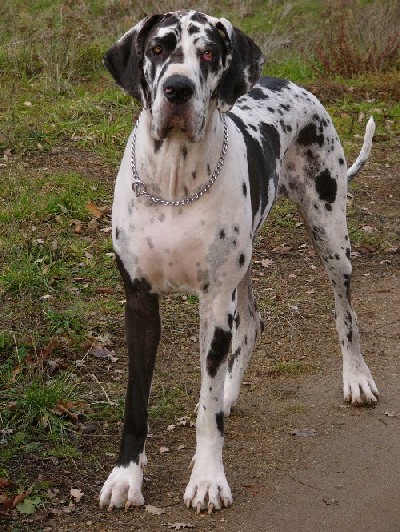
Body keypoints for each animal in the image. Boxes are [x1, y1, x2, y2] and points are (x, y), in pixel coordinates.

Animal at [99, 10, 378, 514]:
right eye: (157, 48)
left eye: (209, 53)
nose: (178, 88)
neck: (173, 185)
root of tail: (290, 83)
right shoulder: (140, 302)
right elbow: (136, 401)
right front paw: (126, 476)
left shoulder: (214, 304)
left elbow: (206, 412)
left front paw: (208, 479)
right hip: (244, 267)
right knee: (251, 323)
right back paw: (231, 391)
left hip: (331, 236)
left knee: (345, 315)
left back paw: (356, 378)